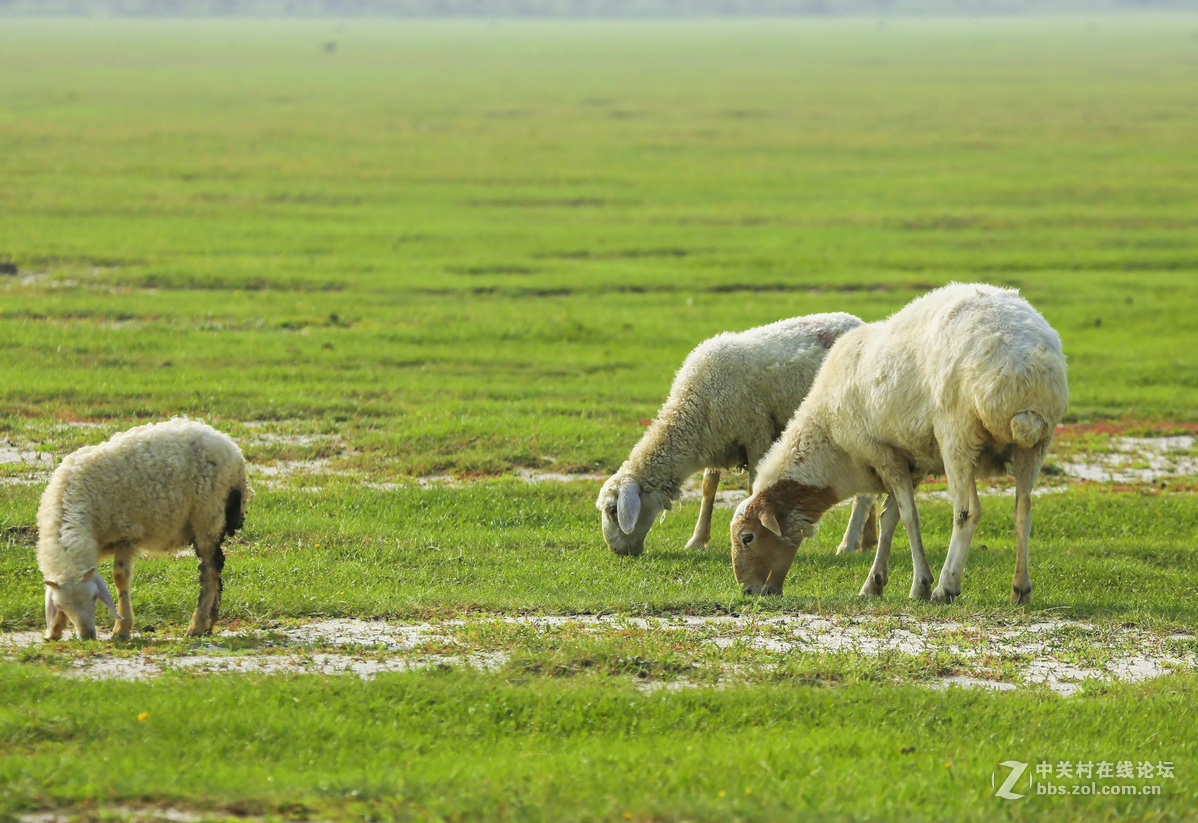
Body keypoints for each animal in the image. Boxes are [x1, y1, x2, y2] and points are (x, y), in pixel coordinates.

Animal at [38, 419, 251, 642]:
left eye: (95, 598)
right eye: (61, 606)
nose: (87, 635)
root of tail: (230, 446)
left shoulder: (126, 535)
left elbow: (120, 578)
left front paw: (122, 629)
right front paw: (55, 630)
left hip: (208, 513)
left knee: (210, 568)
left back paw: (197, 626)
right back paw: (209, 624)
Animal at [599, 311, 881, 555]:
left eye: (613, 510)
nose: (618, 552)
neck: (692, 406)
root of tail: (857, 321)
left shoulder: (755, 433)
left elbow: (752, 487)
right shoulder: (715, 440)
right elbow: (708, 489)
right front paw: (697, 539)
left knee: (864, 495)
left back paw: (848, 543)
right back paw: (867, 539)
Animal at [728, 282, 1068, 606]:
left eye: (747, 537)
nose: (749, 591)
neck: (831, 445)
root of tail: (1022, 371)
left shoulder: (883, 454)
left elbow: (908, 517)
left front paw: (920, 585)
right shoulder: (911, 460)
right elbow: (888, 516)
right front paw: (873, 584)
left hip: (956, 434)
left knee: (967, 512)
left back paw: (946, 587)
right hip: (1035, 443)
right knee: (1023, 511)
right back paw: (1020, 589)